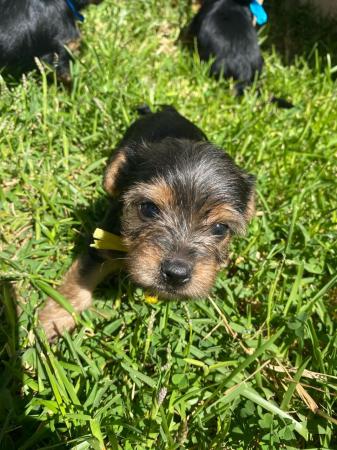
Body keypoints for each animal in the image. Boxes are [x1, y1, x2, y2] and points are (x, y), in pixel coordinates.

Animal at [38, 104, 255, 338]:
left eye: (220, 228)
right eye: (149, 209)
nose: (176, 274)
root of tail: (169, 110)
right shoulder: (100, 242)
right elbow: (80, 281)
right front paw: (52, 321)